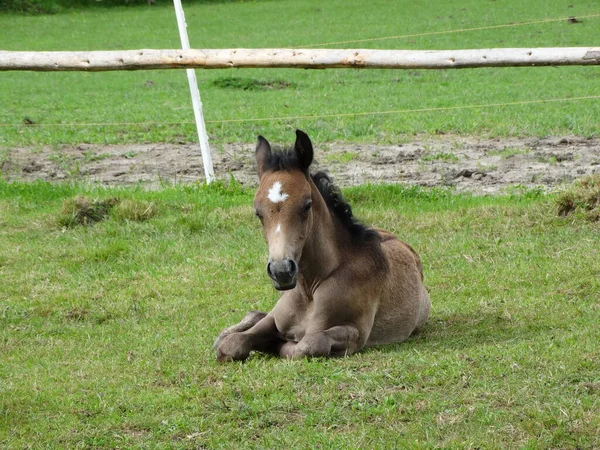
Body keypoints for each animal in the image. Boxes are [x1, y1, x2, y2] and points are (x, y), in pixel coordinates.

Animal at [213, 128, 428, 360]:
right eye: (257, 212)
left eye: (307, 205)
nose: (281, 271)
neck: (310, 287)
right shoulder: (275, 319)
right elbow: (232, 344)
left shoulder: (356, 331)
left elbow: (308, 343)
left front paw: (277, 344)